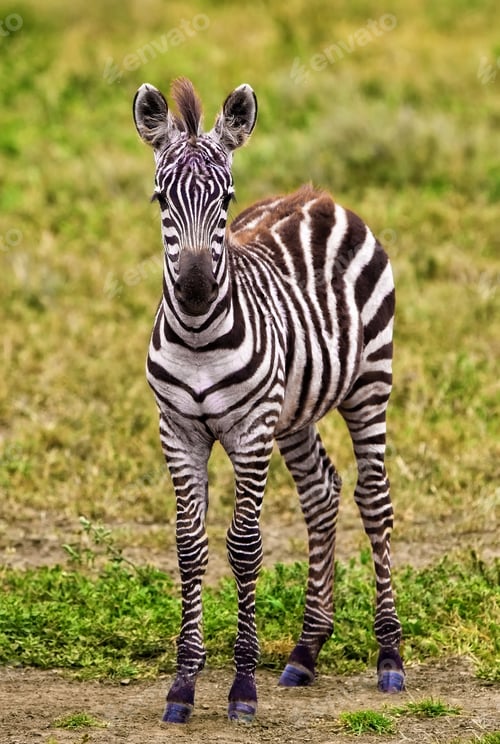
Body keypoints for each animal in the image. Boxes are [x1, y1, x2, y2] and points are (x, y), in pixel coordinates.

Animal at [132, 77, 405, 724]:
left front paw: (241, 687)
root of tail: (319, 198)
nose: (196, 288)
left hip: (370, 383)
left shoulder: (250, 431)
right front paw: (183, 685)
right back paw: (306, 650)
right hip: (296, 410)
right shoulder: (177, 431)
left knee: (373, 499)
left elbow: (245, 546)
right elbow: (189, 547)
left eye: (226, 198)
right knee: (322, 493)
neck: (198, 336)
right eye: (160, 199)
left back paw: (389, 655)